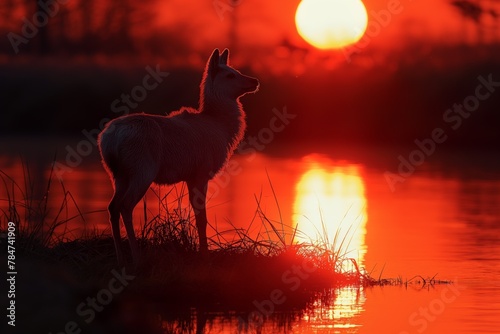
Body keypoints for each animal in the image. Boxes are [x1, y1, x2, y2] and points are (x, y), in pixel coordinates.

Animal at [98, 48, 262, 266]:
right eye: (230, 75)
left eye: (235, 70)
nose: (255, 81)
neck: (221, 128)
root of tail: (108, 141)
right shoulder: (201, 172)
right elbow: (202, 218)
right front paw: (205, 256)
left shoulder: (190, 176)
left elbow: (197, 215)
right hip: (142, 169)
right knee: (126, 205)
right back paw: (137, 257)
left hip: (118, 174)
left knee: (112, 207)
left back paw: (121, 258)